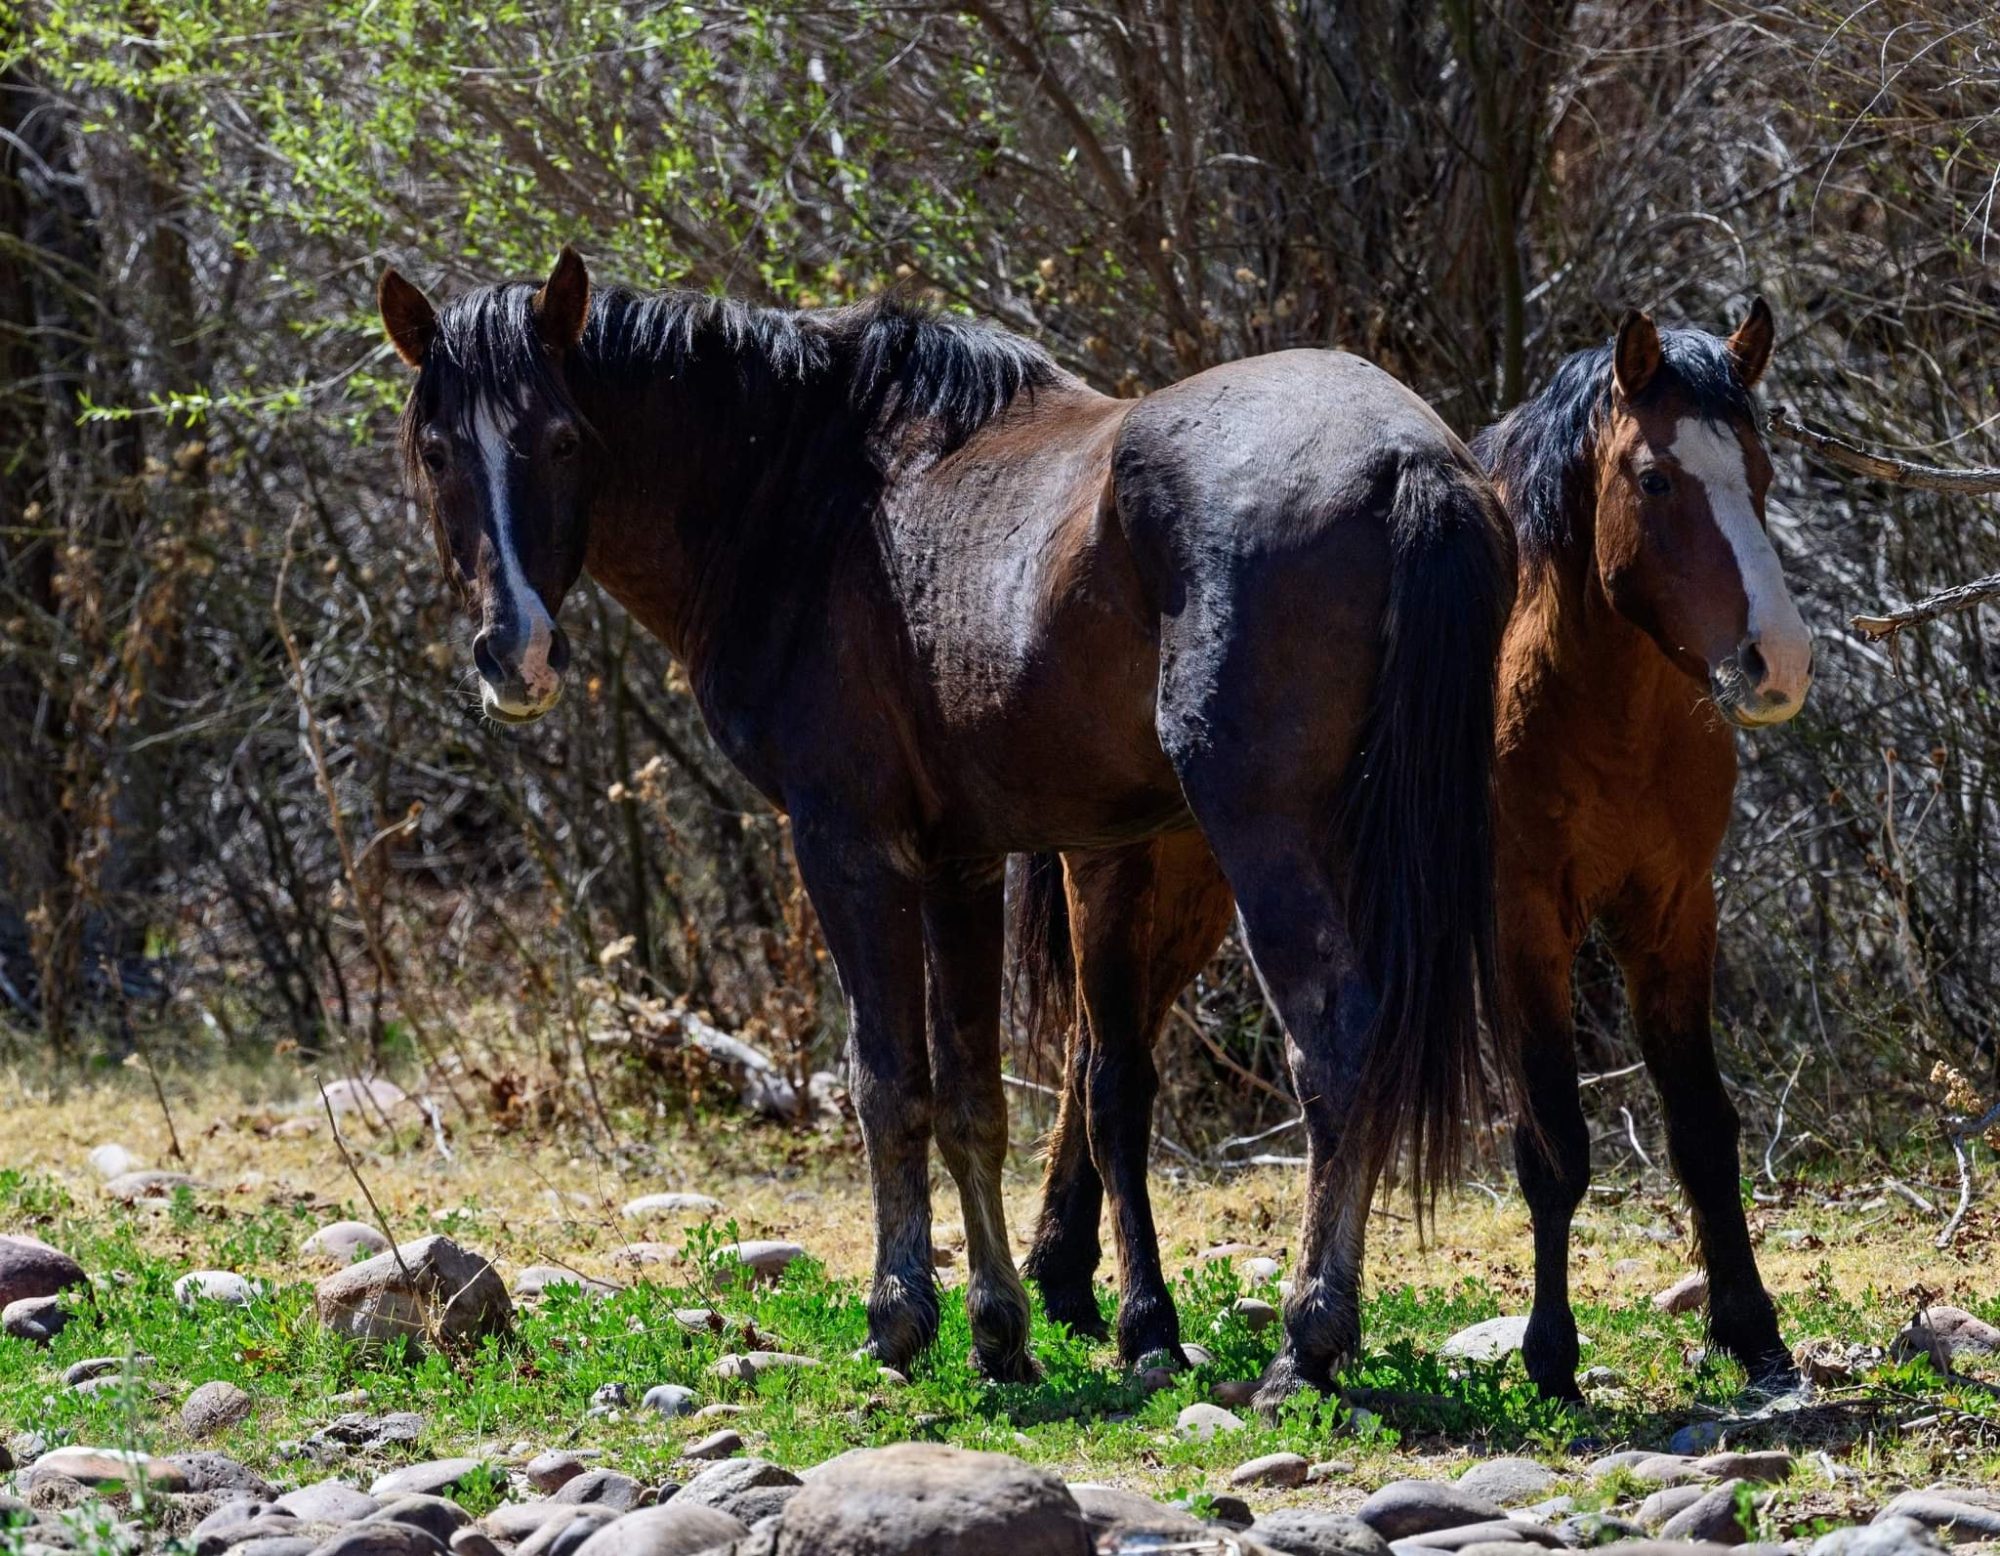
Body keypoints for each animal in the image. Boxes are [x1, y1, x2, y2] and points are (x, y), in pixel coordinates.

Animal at [376, 249, 1512, 1392]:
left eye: (564, 439)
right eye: (436, 451)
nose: (515, 654)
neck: (805, 495)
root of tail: (1406, 458)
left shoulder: (849, 847)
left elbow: (888, 1082)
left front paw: (901, 1317)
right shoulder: (965, 862)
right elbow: (974, 1094)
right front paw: (999, 1326)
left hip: (1263, 839)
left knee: (1337, 1046)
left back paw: (1305, 1342)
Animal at [1024, 300, 1824, 1392]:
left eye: (1763, 472)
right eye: (1655, 478)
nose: (1774, 662)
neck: (1596, 710)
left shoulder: (1672, 910)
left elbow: (1701, 1125)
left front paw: (1752, 1333)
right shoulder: (1524, 922)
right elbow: (1552, 1143)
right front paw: (1549, 1354)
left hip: (1201, 897)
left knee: (1092, 1054)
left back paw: (1065, 1278)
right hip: (1122, 877)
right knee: (1108, 1067)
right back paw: (1138, 1315)